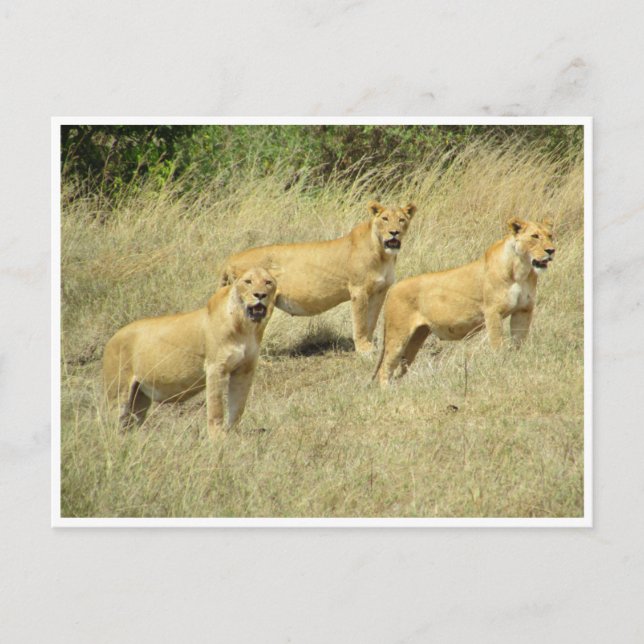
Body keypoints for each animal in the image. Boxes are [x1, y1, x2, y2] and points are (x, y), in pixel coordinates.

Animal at [103, 267, 277, 438]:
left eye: (268, 282)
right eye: (248, 281)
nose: (260, 295)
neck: (245, 326)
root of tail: (112, 339)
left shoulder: (245, 370)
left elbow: (238, 406)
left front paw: (233, 435)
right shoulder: (215, 367)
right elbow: (216, 407)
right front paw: (218, 438)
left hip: (140, 396)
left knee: (132, 424)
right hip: (119, 392)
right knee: (115, 423)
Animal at [220, 200, 417, 353]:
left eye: (402, 220)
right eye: (385, 219)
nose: (394, 232)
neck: (384, 254)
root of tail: (229, 259)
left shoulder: (380, 291)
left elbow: (371, 321)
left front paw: (370, 345)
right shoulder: (358, 290)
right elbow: (360, 322)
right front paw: (363, 349)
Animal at [374, 217, 556, 386]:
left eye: (550, 236)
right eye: (535, 236)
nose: (551, 250)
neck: (522, 270)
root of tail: (393, 288)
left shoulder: (523, 311)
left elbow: (518, 342)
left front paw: (514, 363)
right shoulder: (493, 312)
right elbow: (497, 344)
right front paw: (500, 366)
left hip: (417, 337)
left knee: (400, 367)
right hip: (398, 334)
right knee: (385, 367)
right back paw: (387, 391)